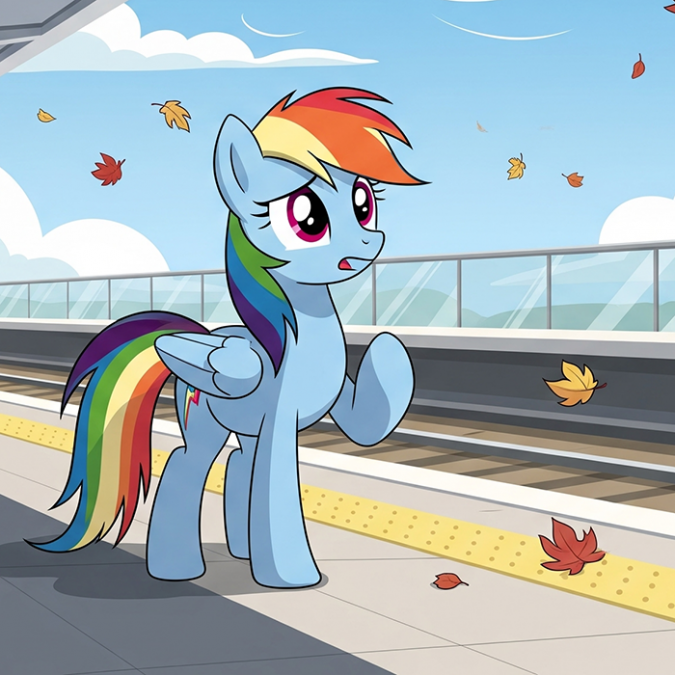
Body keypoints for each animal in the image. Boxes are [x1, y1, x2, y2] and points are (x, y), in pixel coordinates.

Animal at [34, 88, 424, 588]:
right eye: (307, 218)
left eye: (364, 202)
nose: (365, 245)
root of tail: (194, 335)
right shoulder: (281, 417)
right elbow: (276, 487)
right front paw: (293, 576)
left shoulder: (333, 396)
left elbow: (366, 421)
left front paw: (388, 349)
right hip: (205, 416)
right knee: (189, 463)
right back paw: (177, 568)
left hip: (243, 425)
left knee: (241, 463)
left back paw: (241, 552)